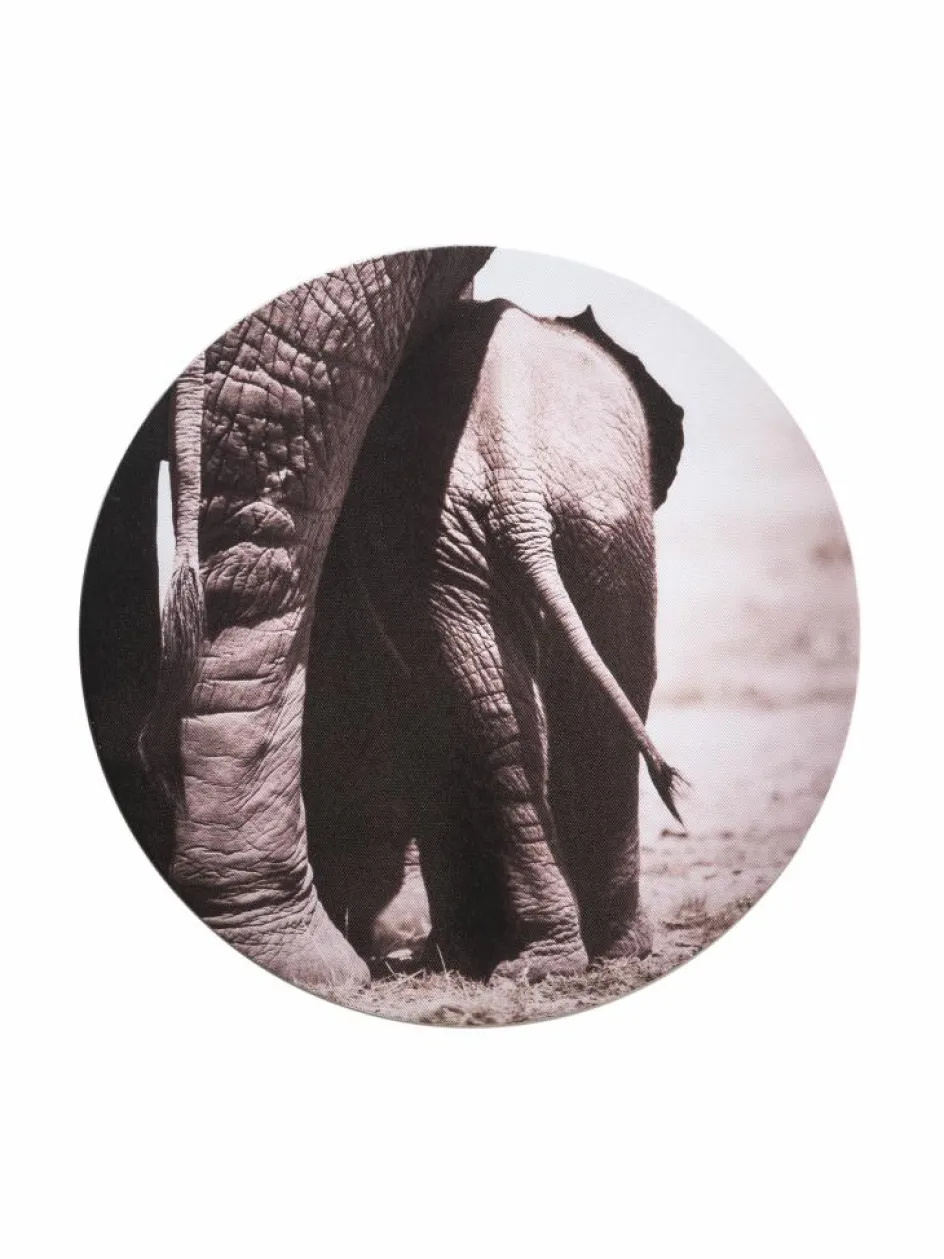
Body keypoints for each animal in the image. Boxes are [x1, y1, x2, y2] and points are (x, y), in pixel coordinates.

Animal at [302, 297, 685, 981]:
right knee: (549, 705)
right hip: (581, 521)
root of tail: (516, 476)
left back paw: (552, 958)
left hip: (569, 523)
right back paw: (575, 957)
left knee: (511, 710)